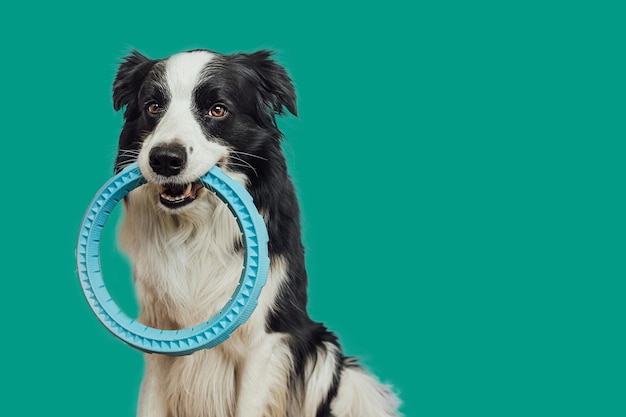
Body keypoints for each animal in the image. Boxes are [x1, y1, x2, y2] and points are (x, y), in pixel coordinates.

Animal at [111, 48, 400, 416]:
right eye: (153, 107)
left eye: (217, 109)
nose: (164, 159)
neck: (194, 229)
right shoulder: (160, 335)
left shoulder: (263, 342)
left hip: (324, 352)